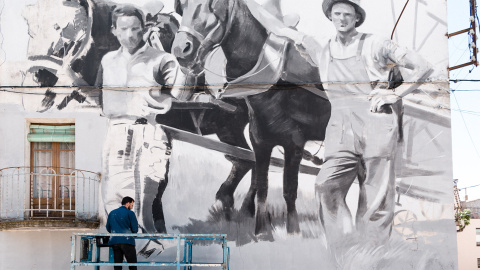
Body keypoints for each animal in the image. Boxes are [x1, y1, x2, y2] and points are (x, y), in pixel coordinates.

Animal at [171, 0, 332, 234]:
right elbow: (262, 184)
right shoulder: (261, 140)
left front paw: (293, 230)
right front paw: (261, 229)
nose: (181, 49)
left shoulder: (295, 143)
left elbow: (289, 189)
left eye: (211, 4)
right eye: (181, 6)